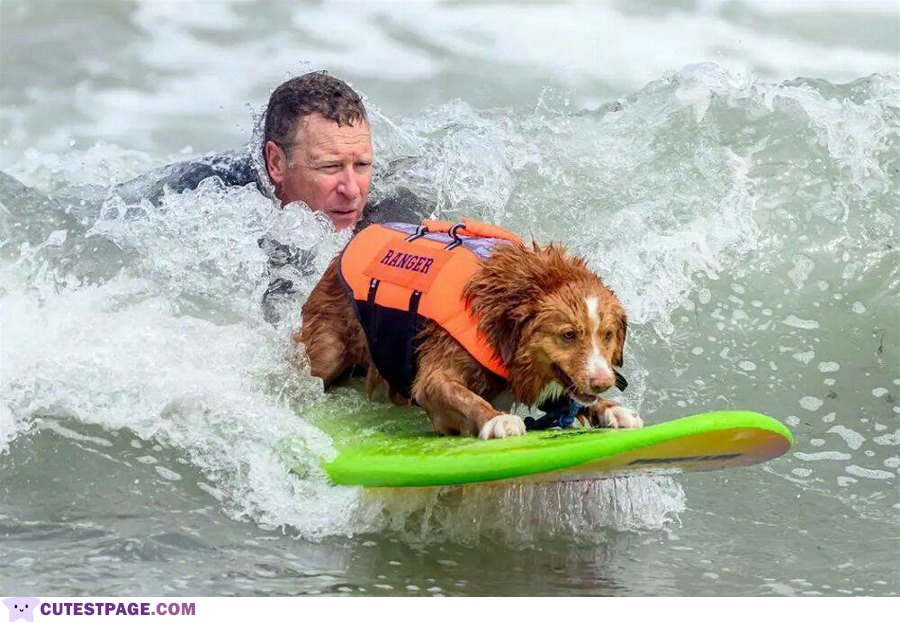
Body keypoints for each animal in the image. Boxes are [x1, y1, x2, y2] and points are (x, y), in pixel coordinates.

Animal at [298, 228, 644, 438]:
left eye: (607, 335)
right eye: (569, 335)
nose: (603, 382)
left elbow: (571, 400)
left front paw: (613, 410)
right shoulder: (436, 371)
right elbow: (463, 396)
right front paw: (496, 419)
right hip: (329, 350)